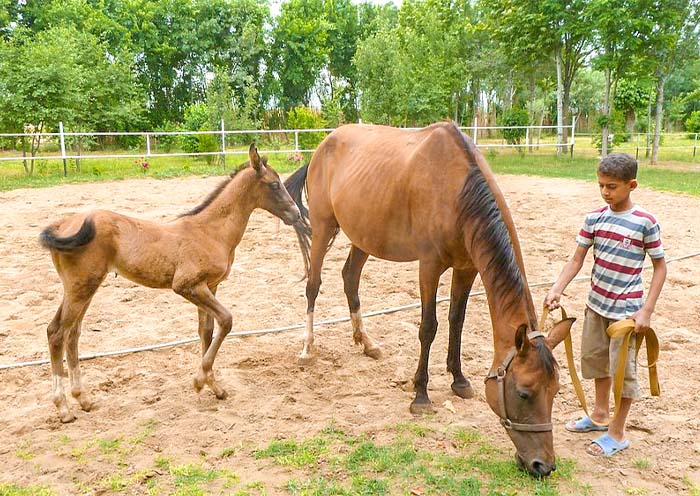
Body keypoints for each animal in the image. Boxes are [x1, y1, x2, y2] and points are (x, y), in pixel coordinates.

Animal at [39, 144, 310, 423]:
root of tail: (62, 224)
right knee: (57, 334)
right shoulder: (187, 286)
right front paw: (199, 381)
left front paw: (214, 386)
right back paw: (63, 408)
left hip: (83, 288)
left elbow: (207, 331)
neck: (211, 231)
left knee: (71, 334)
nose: (296, 214)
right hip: (81, 287)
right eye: (274, 184)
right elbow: (226, 321)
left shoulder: (210, 286)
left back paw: (83, 399)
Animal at [284, 122, 575, 477]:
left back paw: (366, 343)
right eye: (523, 393)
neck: (458, 190)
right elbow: (428, 327)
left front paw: (459, 380)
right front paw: (420, 394)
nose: (543, 465)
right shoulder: (429, 266)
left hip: (363, 236)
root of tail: (323, 146)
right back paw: (307, 348)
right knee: (313, 285)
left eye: (556, 390)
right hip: (325, 228)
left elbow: (456, 321)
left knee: (350, 279)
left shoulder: (467, 268)